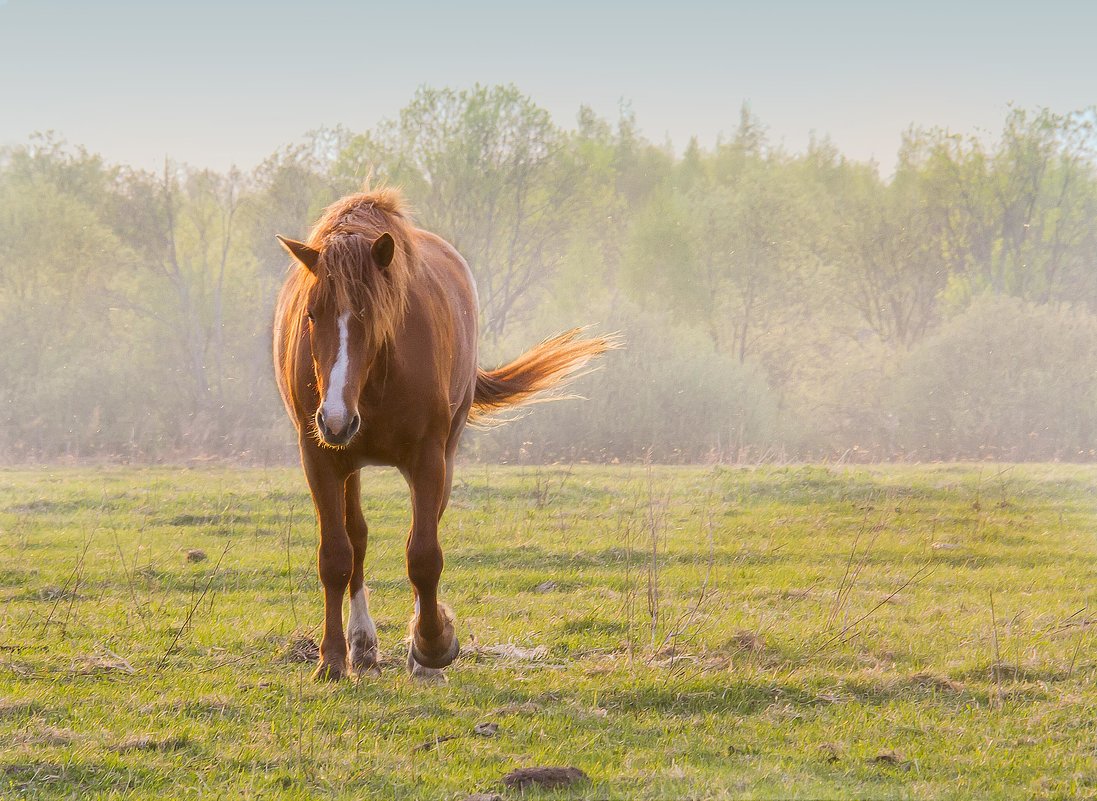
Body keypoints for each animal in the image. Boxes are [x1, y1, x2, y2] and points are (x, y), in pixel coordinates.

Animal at [273, 188, 614, 680]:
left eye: (371, 316)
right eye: (312, 314)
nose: (336, 418)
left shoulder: (428, 458)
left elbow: (423, 556)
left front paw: (433, 646)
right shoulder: (318, 456)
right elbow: (336, 556)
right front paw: (332, 660)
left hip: (439, 458)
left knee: (422, 533)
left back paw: (420, 652)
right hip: (345, 461)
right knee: (357, 540)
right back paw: (362, 644)